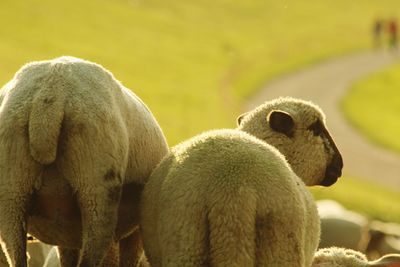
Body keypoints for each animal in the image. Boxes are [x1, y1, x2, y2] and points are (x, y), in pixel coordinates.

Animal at [0, 55, 167, 266]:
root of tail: (50, 95)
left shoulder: (65, 231)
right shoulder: (135, 230)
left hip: (11, 189)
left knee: (17, 255)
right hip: (97, 187)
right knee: (91, 256)